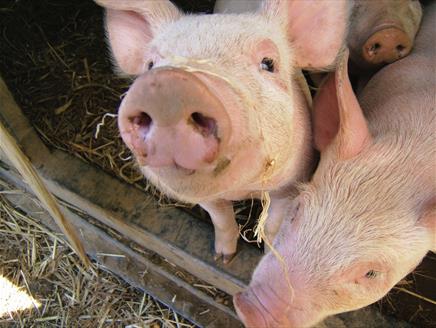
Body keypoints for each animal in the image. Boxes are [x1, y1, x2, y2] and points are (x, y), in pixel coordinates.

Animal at [97, 0, 350, 262]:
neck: (243, 190)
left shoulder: (290, 185)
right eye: (150, 65)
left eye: (268, 63)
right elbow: (221, 219)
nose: (167, 86)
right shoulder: (207, 199)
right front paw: (223, 258)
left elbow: (272, 226)